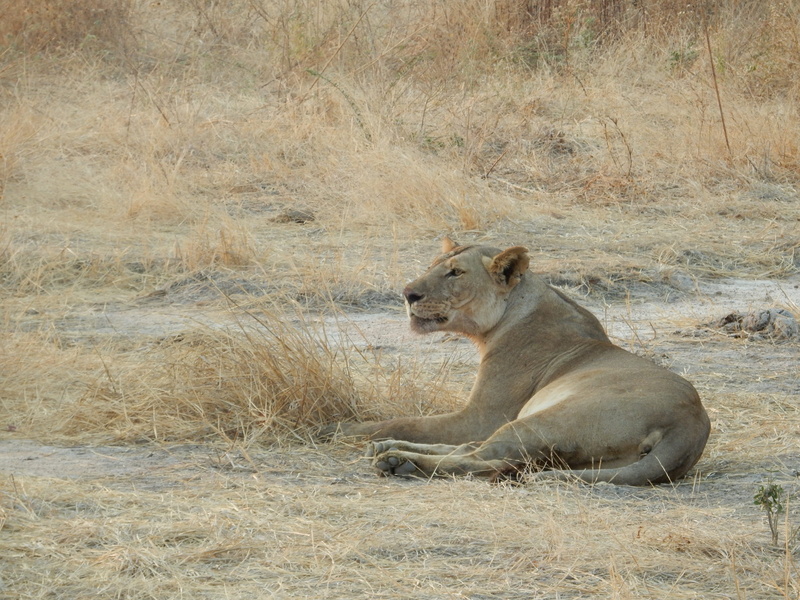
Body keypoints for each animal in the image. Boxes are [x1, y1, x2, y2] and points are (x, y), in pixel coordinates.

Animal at [324, 238, 711, 485]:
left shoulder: (481, 417)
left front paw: (337, 430)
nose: (408, 294)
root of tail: (690, 425)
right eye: (431, 266)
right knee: (481, 455)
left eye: (455, 273)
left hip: (542, 420)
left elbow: (405, 421)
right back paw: (391, 452)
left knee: (483, 457)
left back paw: (399, 463)